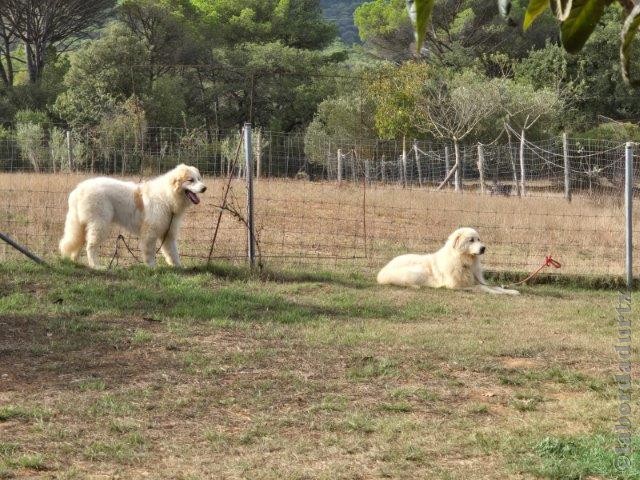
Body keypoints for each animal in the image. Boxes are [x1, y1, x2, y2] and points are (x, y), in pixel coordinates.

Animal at [59, 164, 206, 270]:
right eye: (190, 180)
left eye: (199, 179)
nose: (204, 188)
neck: (167, 196)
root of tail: (78, 189)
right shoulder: (150, 234)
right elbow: (150, 252)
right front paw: (152, 267)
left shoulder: (168, 234)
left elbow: (173, 253)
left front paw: (179, 267)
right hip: (100, 225)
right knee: (91, 246)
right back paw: (96, 266)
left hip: (84, 225)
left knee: (79, 242)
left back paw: (75, 261)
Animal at [378, 227, 516, 294]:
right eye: (471, 240)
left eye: (479, 239)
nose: (483, 248)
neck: (462, 261)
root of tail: (381, 271)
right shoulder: (457, 286)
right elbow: (483, 288)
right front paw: (495, 292)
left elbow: (496, 287)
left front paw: (511, 291)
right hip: (415, 272)